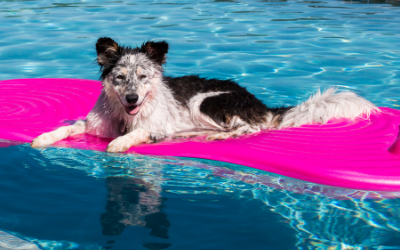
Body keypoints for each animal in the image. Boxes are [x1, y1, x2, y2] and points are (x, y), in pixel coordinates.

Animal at [30, 37, 378, 153]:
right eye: (120, 77)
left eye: (143, 77)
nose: (131, 99)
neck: (125, 116)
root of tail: (260, 103)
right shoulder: (94, 124)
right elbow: (67, 127)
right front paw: (44, 137)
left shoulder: (157, 127)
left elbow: (137, 133)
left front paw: (120, 142)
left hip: (206, 101)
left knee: (252, 128)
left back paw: (218, 136)